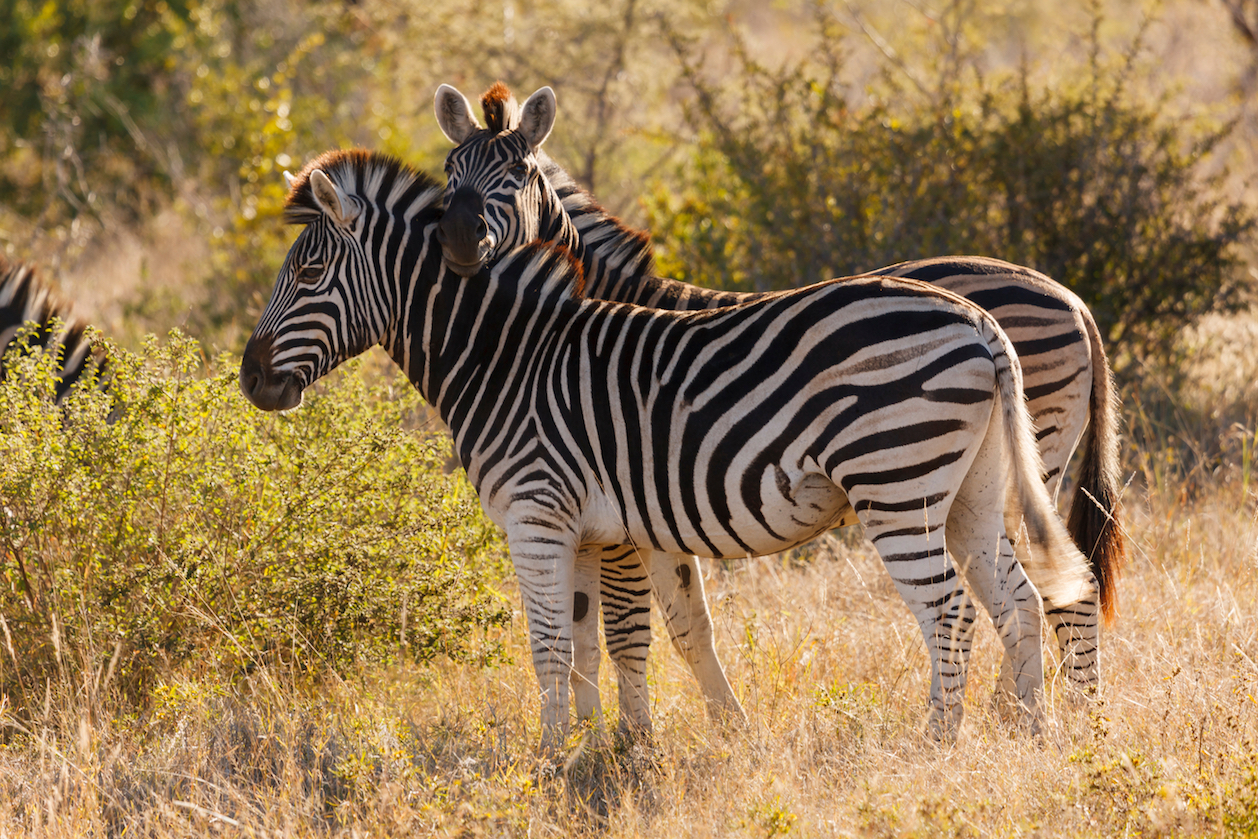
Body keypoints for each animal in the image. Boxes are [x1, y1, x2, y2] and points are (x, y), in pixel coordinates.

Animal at [239, 149, 1099, 750]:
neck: (505, 354)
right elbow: (588, 645)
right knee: (1022, 600)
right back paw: (1033, 735)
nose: (249, 378)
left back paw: (938, 744)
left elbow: (550, 644)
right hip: (973, 488)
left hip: (896, 478)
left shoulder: (536, 515)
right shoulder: (589, 528)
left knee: (951, 610)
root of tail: (979, 322)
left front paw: (546, 761)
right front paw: (592, 753)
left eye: (309, 270)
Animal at [433, 81, 1124, 734]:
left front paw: (638, 739)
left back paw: (1032, 712)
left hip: (994, 462)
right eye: (449, 170)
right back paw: (1059, 712)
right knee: (1054, 586)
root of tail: (1070, 300)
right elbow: (648, 624)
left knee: (1046, 591)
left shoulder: (623, 509)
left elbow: (634, 626)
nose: (460, 239)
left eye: (515, 174)